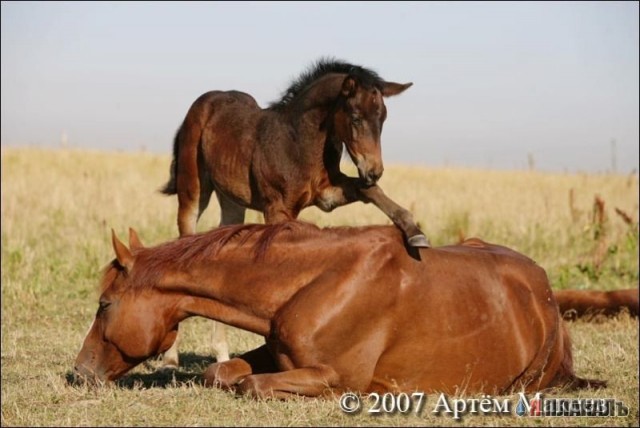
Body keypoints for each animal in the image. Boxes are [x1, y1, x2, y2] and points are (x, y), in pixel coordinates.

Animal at [74, 224, 636, 398]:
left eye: (105, 304)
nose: (78, 373)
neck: (321, 279)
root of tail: (546, 298)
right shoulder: (275, 351)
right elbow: (223, 372)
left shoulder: (334, 377)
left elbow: (251, 386)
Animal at [160, 59, 430, 368]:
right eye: (355, 117)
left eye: (382, 118)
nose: (374, 170)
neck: (300, 143)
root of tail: (201, 104)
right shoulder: (277, 209)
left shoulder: (327, 195)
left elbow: (371, 192)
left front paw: (415, 233)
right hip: (193, 190)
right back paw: (170, 358)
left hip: (231, 201)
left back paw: (222, 355)